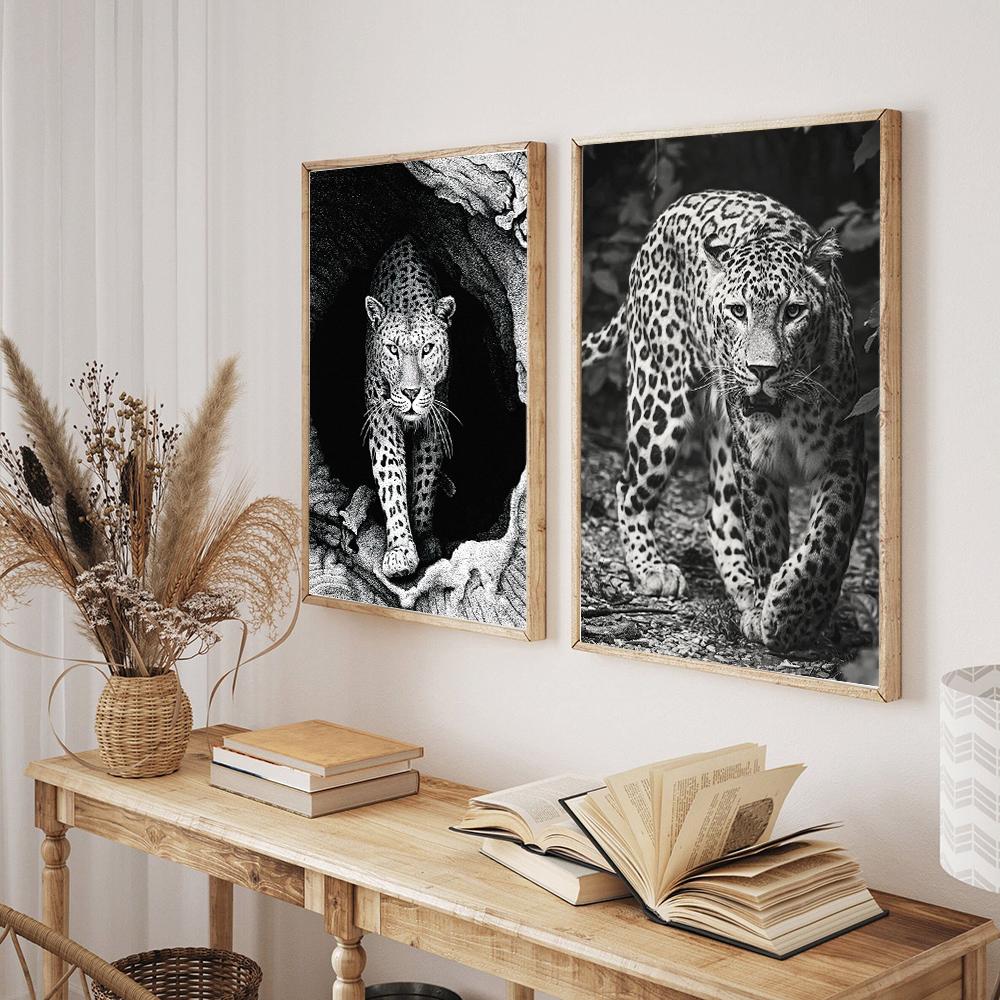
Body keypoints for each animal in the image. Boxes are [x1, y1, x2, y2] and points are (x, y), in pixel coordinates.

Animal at [363, 236, 457, 580]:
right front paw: (401, 550)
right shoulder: (382, 421)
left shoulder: (434, 420)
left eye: (427, 349)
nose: (411, 392)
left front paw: (424, 536)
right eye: (392, 349)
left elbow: (424, 477)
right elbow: (391, 480)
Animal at [582, 190, 868, 652]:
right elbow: (767, 537)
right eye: (737, 311)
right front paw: (775, 612)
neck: (789, 409)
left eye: (794, 312)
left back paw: (743, 588)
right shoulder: (755, 463)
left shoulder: (846, 457)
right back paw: (653, 570)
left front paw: (792, 612)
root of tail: (666, 215)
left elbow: (827, 542)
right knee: (630, 488)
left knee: (717, 509)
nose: (761, 370)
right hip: (659, 401)